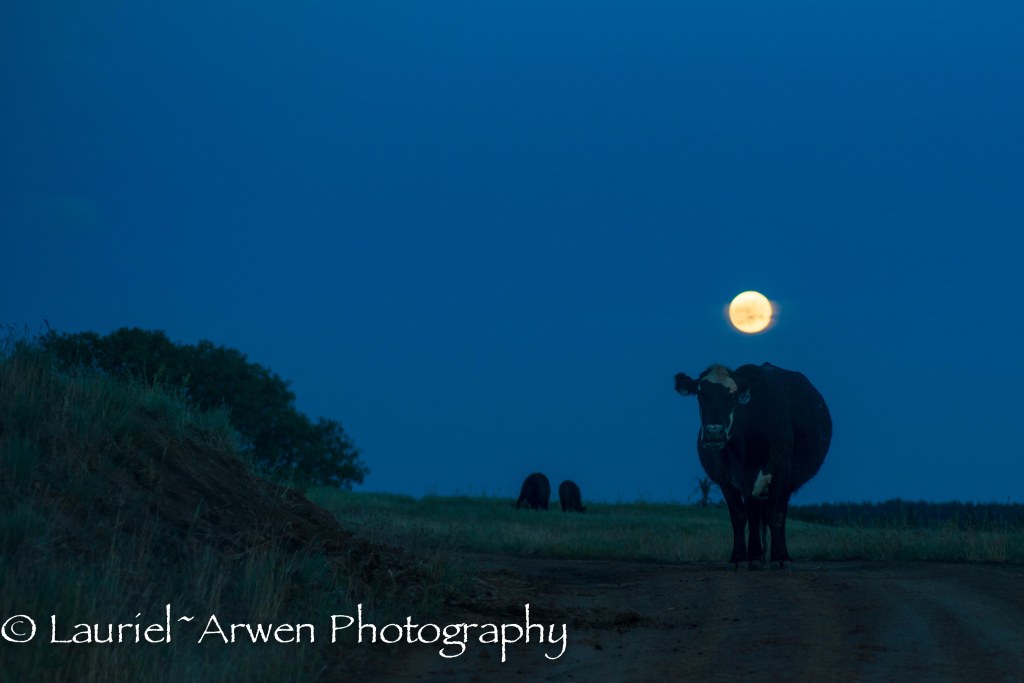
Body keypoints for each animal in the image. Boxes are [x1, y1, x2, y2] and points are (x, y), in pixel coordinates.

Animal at [674, 363, 831, 568]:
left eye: (732, 395)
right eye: (701, 394)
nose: (714, 433)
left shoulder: (781, 469)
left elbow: (775, 514)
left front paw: (780, 556)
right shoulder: (725, 476)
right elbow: (739, 515)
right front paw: (739, 556)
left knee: (779, 512)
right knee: (755, 513)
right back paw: (757, 555)